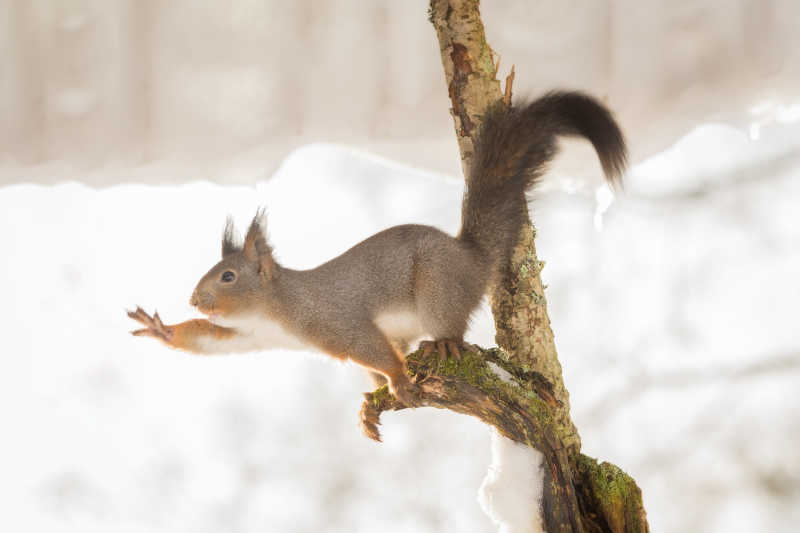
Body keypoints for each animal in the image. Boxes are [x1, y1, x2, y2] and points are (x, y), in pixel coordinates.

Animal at [128, 92, 624, 408]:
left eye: (228, 276)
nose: (195, 300)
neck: (276, 306)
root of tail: (471, 257)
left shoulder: (333, 322)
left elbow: (371, 348)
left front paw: (401, 381)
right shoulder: (251, 334)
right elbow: (212, 341)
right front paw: (162, 329)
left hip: (438, 288)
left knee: (447, 327)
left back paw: (443, 344)